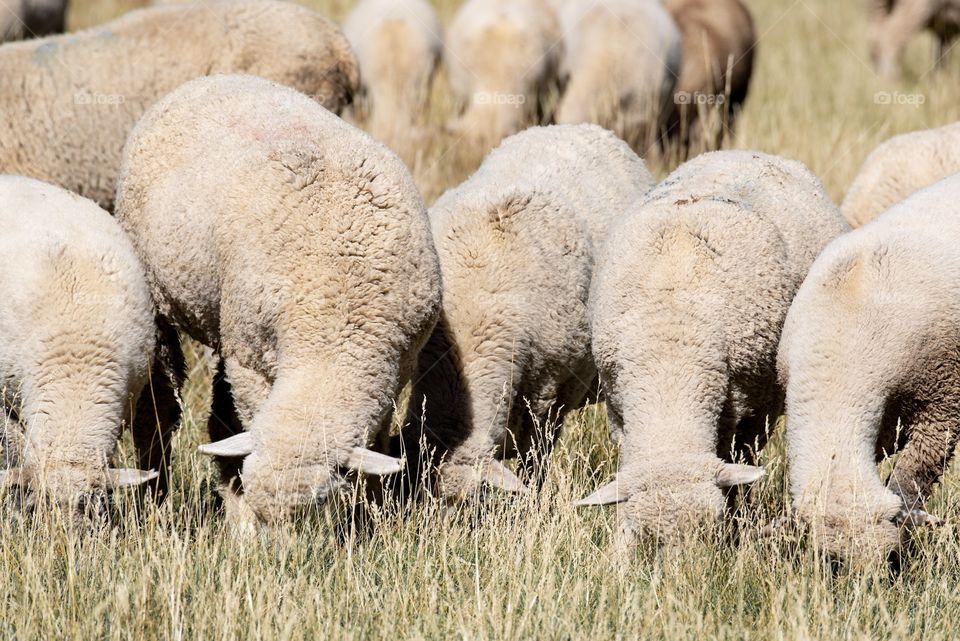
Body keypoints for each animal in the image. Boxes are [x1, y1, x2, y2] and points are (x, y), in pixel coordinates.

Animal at [115, 74, 442, 525]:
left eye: (318, 506)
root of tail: (213, 79)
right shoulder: (251, 363)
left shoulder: (396, 368)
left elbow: (375, 444)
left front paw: (370, 514)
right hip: (162, 297)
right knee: (159, 410)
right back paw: (157, 495)